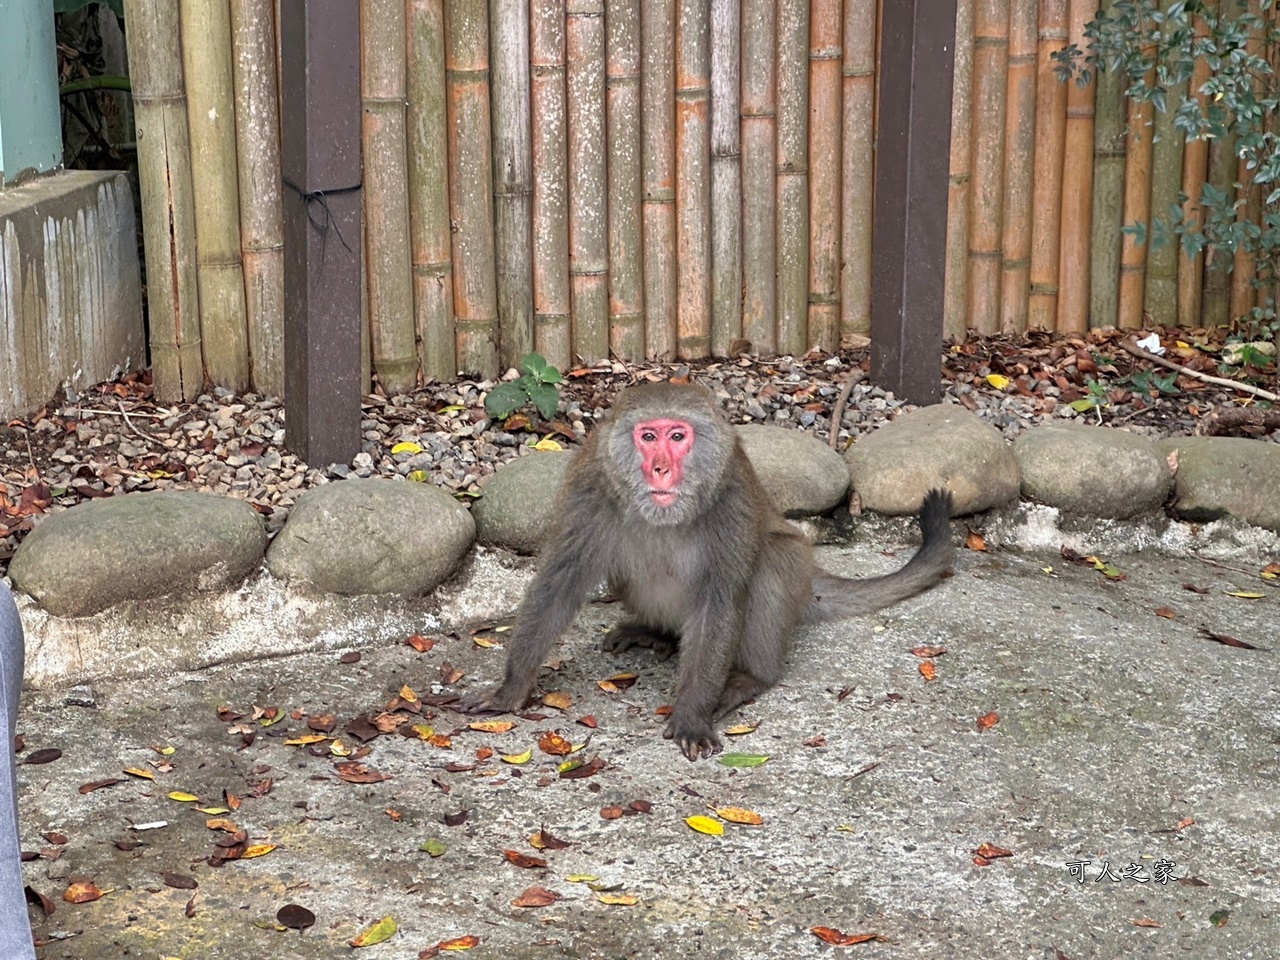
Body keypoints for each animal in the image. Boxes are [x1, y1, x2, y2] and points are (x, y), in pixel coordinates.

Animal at [458, 378, 952, 762]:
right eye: (648, 437)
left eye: (678, 437)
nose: (660, 469)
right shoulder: (590, 486)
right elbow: (559, 583)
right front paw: (510, 689)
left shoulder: (731, 498)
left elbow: (721, 599)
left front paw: (693, 716)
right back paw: (656, 632)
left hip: (793, 569)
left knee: (770, 564)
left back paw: (752, 678)